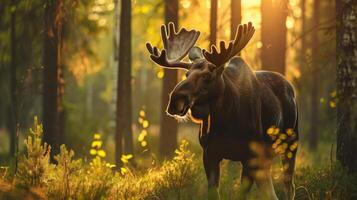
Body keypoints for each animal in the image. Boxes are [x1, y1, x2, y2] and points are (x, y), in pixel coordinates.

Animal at [145, 22, 298, 199]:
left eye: (207, 76)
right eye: (187, 74)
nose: (175, 100)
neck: (225, 121)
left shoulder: (249, 157)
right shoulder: (209, 154)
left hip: (290, 143)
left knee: (289, 186)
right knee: (270, 190)